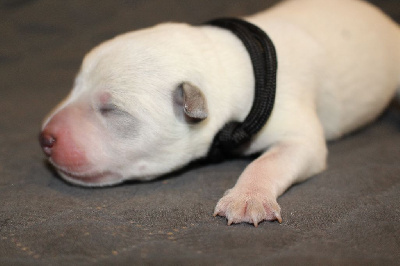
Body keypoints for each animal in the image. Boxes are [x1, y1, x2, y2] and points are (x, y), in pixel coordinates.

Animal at [38, 0, 400, 227]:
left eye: (111, 109)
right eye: (75, 86)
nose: (45, 138)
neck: (227, 59)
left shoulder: (298, 131)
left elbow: (271, 160)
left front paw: (248, 197)